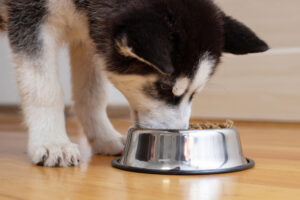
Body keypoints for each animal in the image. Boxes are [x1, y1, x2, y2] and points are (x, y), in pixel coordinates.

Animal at [0, 0, 268, 166]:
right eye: (164, 87)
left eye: (194, 94)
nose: (177, 137)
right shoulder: (32, 20)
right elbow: (45, 89)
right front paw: (52, 143)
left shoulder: (90, 35)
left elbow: (92, 94)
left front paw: (103, 137)